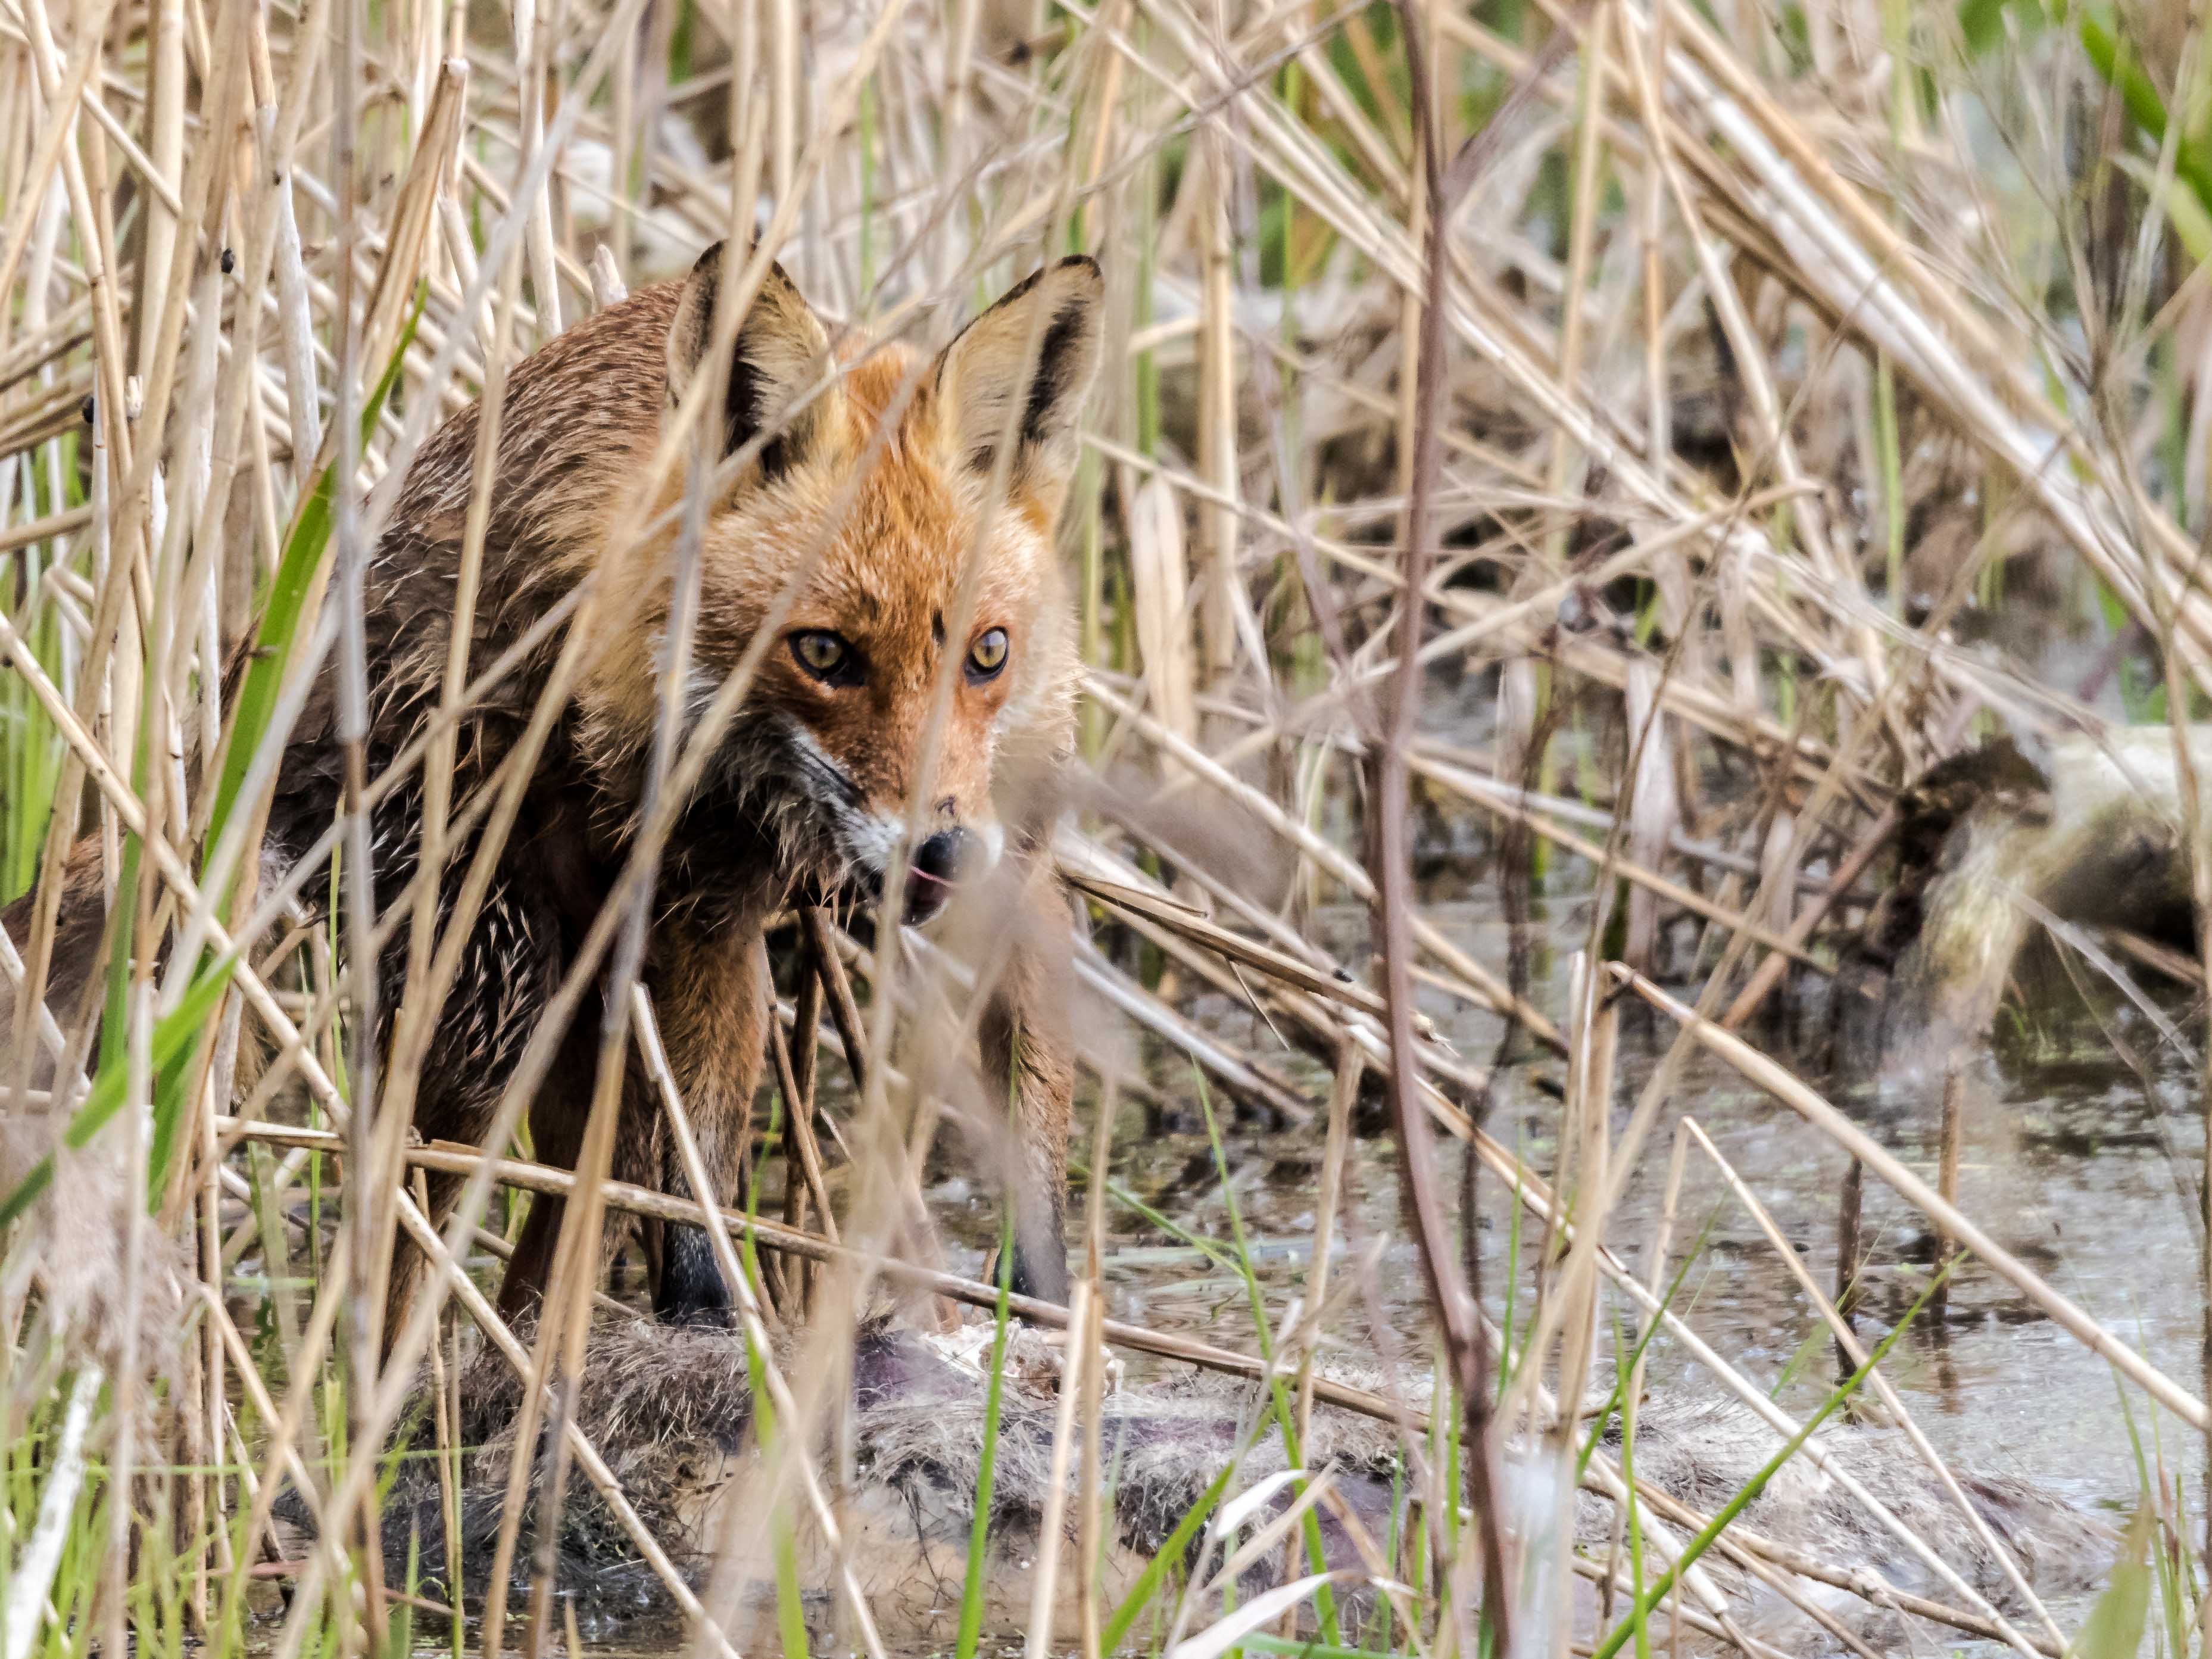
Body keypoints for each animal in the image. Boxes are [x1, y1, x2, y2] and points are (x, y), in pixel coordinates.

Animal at [0, 242, 1101, 1324]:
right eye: (823, 653)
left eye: (989, 652)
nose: (941, 848)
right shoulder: (703, 899)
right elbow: (698, 1156)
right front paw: (706, 1308)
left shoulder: (1016, 852)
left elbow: (1035, 1113)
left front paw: (1042, 1294)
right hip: (497, 978)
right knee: (450, 1200)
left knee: (572, 1181)